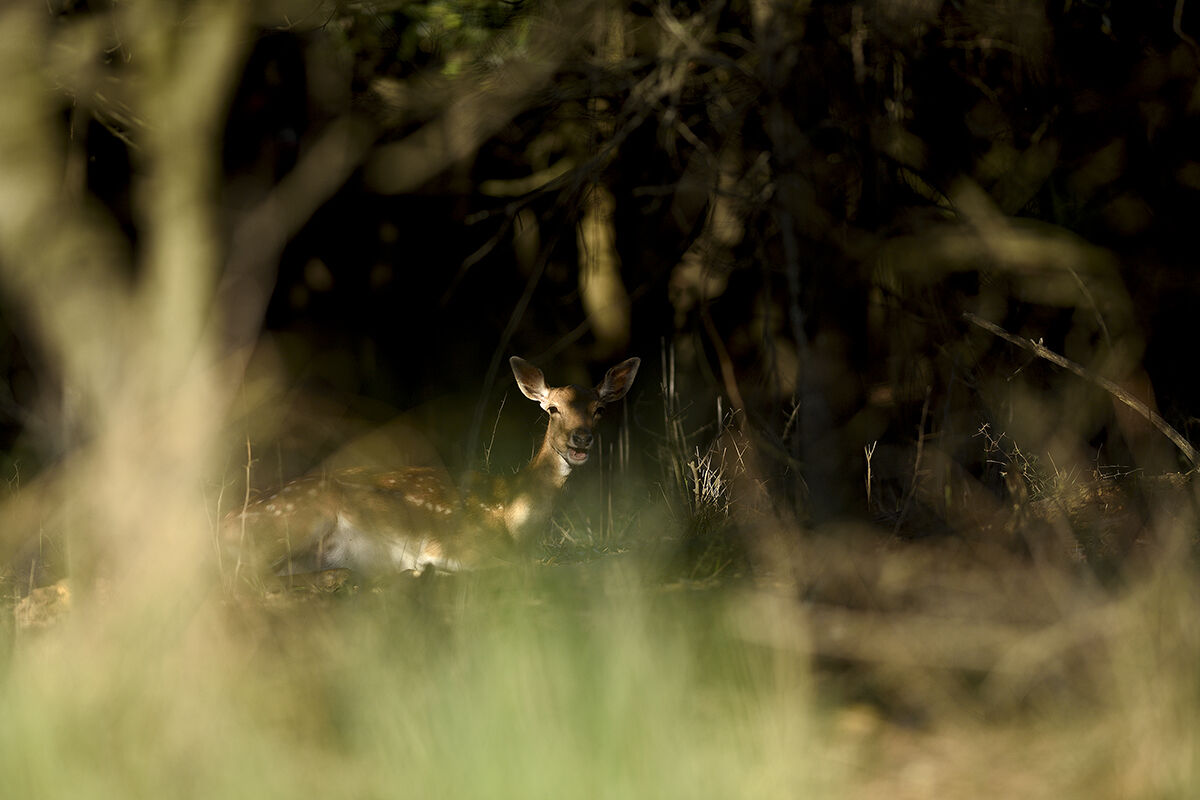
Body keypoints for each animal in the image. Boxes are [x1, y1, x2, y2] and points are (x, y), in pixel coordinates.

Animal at [221, 356, 640, 585]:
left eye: (599, 410)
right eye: (553, 409)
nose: (580, 440)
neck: (509, 514)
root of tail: (220, 524)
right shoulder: (455, 543)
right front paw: (423, 569)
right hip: (298, 516)